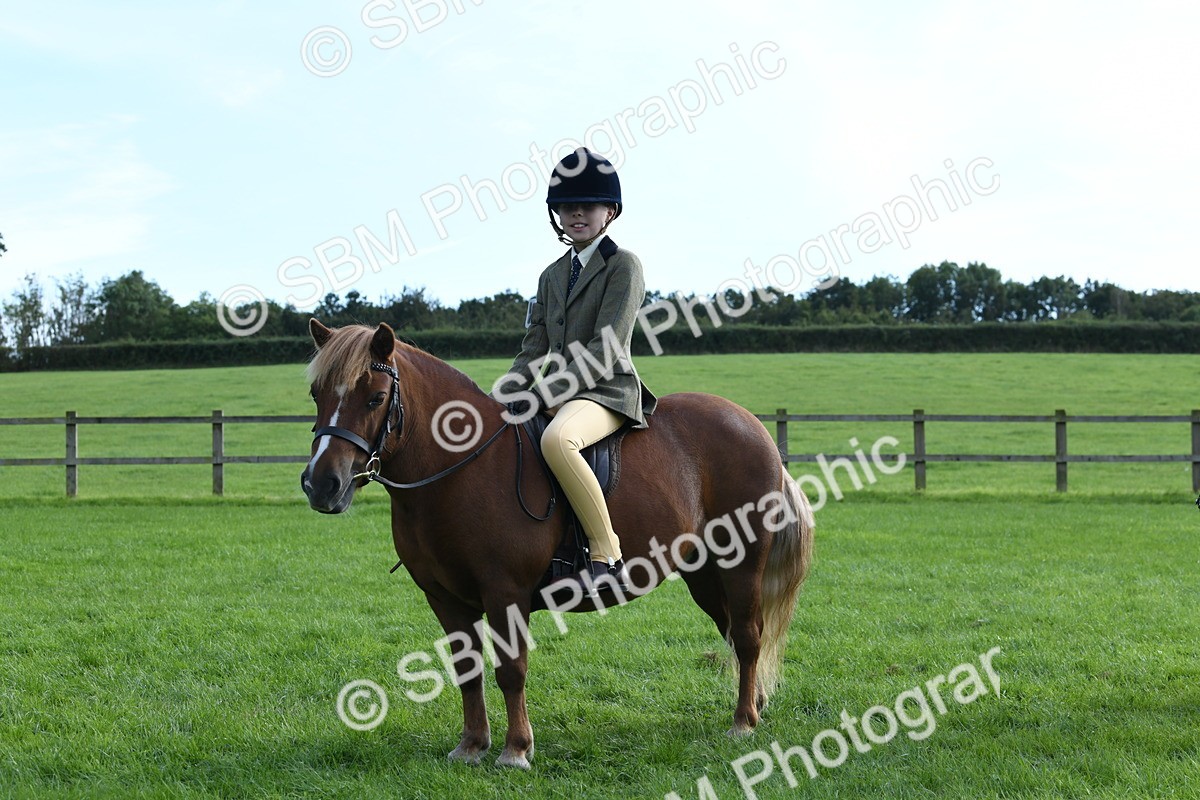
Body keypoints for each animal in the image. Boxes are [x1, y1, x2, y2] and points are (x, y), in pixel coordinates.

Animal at [300, 319, 814, 769]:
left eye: (375, 397)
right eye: (316, 394)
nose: (321, 485)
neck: (459, 470)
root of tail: (753, 426)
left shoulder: (505, 593)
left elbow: (511, 670)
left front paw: (516, 750)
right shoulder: (444, 598)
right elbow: (467, 669)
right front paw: (471, 746)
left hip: (741, 565)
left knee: (747, 636)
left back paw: (743, 722)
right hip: (704, 574)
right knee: (735, 634)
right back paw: (756, 706)